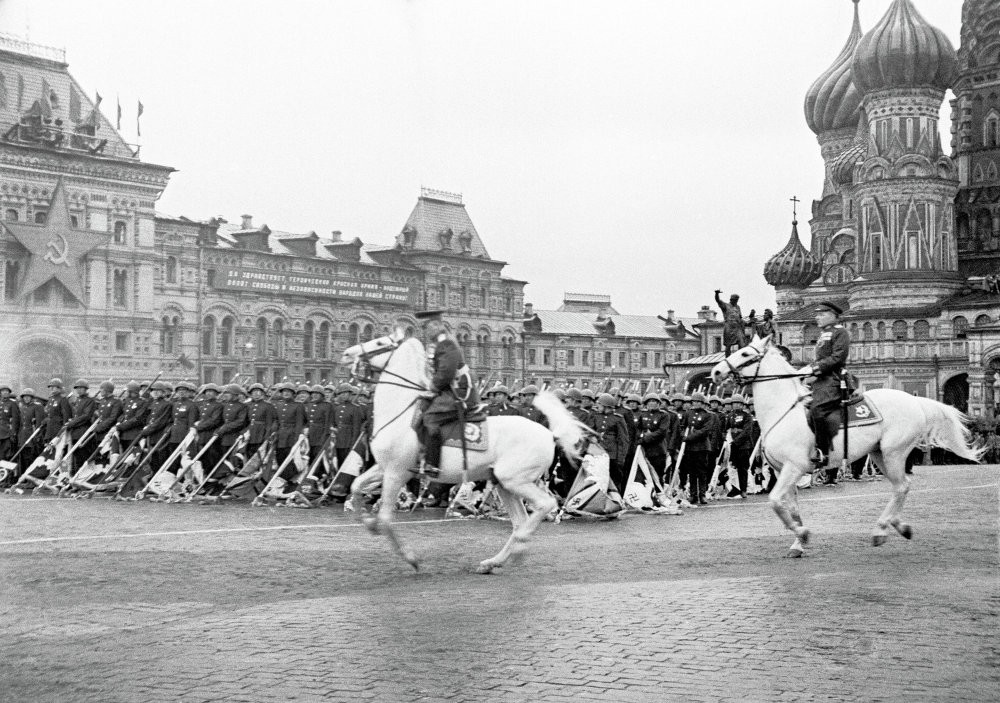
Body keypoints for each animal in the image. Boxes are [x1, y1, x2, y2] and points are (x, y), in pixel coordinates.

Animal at [338, 328, 584, 572]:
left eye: (380, 342)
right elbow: (356, 485)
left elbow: (386, 519)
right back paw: (494, 561)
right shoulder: (385, 468)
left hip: (515, 480)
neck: (401, 414)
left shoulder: (396, 473)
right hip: (504, 483)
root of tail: (549, 433)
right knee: (520, 521)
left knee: (545, 505)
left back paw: (520, 545)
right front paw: (367, 522)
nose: (347, 354)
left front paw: (410, 557)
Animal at [712, 338, 984, 560]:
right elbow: (790, 507)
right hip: (879, 454)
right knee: (901, 486)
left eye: (746, 353)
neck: (783, 411)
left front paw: (803, 534)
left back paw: (881, 530)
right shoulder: (782, 470)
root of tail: (914, 400)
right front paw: (798, 544)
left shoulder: (794, 467)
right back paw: (898, 526)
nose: (716, 371)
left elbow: (775, 501)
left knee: (901, 487)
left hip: (894, 453)